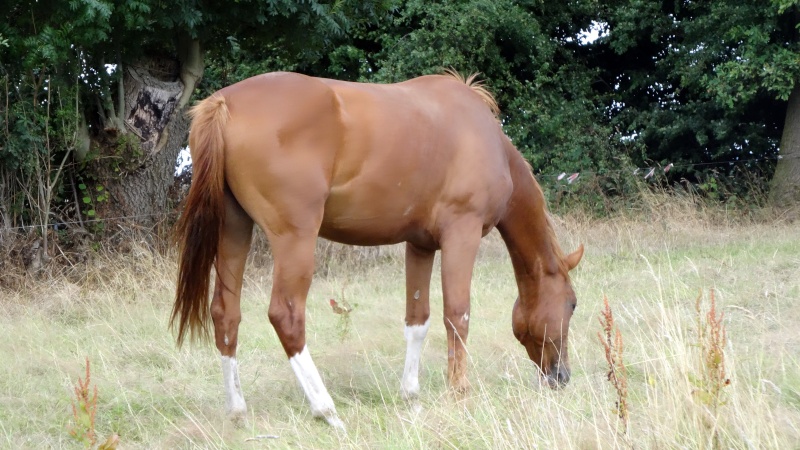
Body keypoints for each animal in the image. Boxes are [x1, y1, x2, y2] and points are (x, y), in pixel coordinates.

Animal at [172, 71, 584, 428]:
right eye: (573, 304)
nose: (561, 377)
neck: (483, 135)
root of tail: (224, 103)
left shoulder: (420, 244)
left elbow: (418, 319)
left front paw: (411, 394)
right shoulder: (461, 234)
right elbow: (457, 315)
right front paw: (460, 393)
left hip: (234, 229)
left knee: (226, 314)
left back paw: (237, 412)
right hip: (294, 239)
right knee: (286, 316)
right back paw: (326, 411)